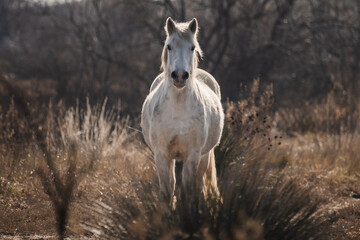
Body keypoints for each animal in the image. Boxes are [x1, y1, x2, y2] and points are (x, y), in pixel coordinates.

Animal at [141, 17, 224, 204]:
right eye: (169, 46)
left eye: (192, 47)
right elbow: (167, 192)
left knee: (198, 187)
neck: (178, 110)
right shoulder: (162, 154)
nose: (179, 75)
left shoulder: (192, 155)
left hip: (204, 156)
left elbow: (187, 192)